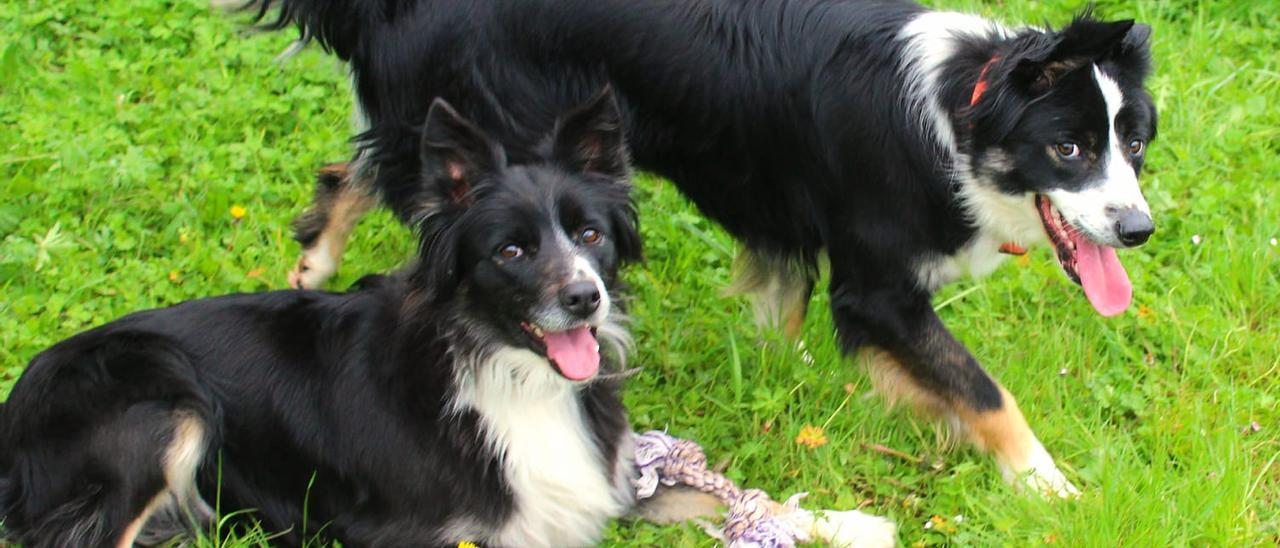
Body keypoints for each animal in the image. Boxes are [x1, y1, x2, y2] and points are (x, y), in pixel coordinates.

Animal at [254, 1, 1157, 496]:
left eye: (1135, 144)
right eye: (1069, 149)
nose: (1139, 229)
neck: (960, 106)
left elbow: (790, 323)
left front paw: (790, 389)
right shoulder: (877, 285)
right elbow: (984, 389)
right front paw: (1048, 485)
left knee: (360, 165)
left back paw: (314, 256)